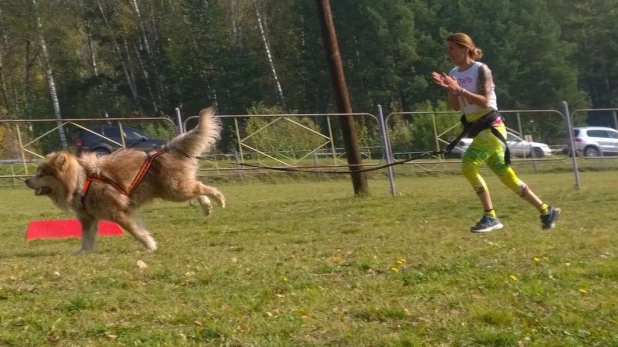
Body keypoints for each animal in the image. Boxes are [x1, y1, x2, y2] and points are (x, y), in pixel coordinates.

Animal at [25, 107, 226, 254]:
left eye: (41, 174)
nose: (26, 180)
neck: (81, 182)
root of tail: (167, 149)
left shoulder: (118, 212)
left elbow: (136, 231)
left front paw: (150, 245)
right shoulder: (87, 218)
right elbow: (87, 239)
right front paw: (82, 252)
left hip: (173, 189)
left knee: (202, 187)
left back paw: (219, 199)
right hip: (174, 189)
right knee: (197, 189)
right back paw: (207, 207)